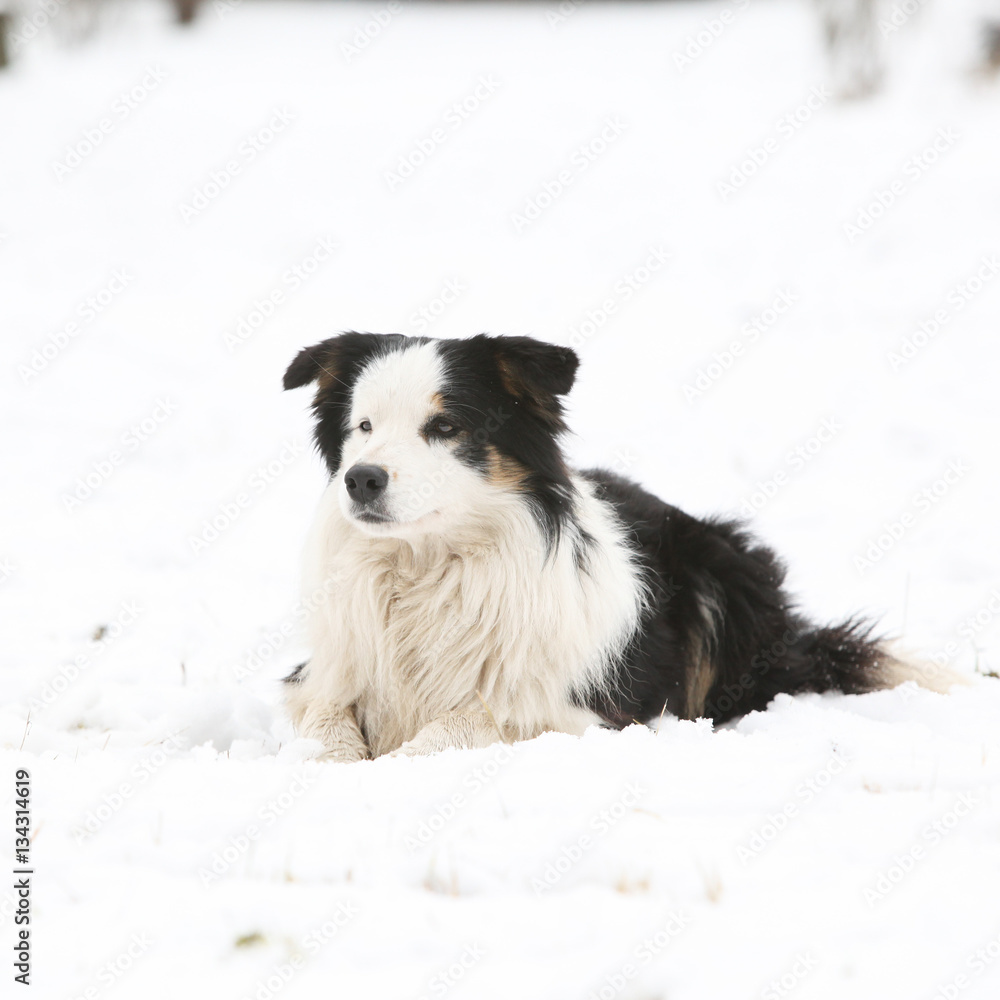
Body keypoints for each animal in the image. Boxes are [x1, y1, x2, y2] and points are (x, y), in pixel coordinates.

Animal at [282, 332, 960, 760]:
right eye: (362, 426)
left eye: (445, 426)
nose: (361, 479)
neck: (425, 567)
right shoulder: (321, 674)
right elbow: (325, 724)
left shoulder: (586, 713)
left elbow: (472, 721)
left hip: (725, 566)